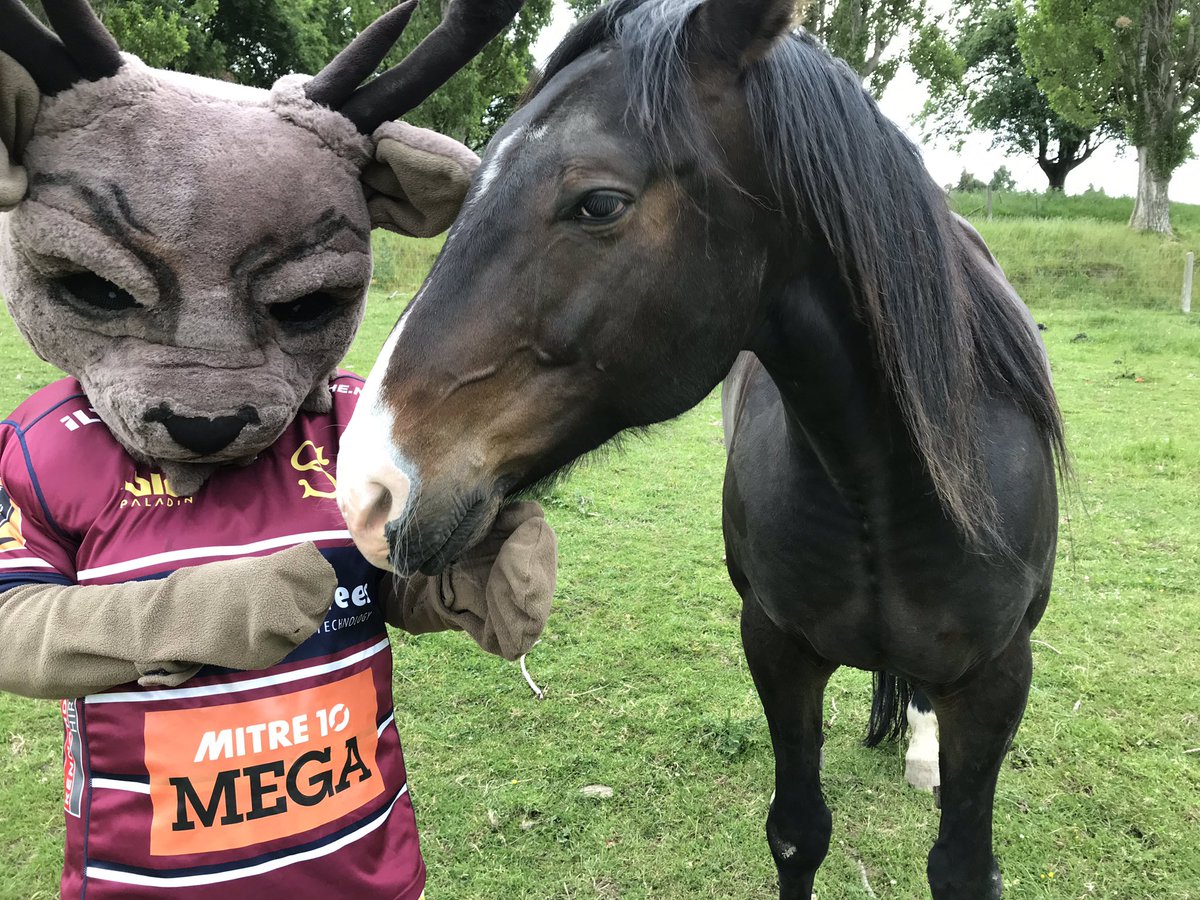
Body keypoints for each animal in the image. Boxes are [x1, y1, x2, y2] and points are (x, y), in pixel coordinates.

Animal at [335, 0, 1064, 895]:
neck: (880, 488)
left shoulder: (997, 680)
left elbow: (960, 867)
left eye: (598, 203)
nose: (366, 487)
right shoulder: (777, 649)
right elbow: (798, 833)